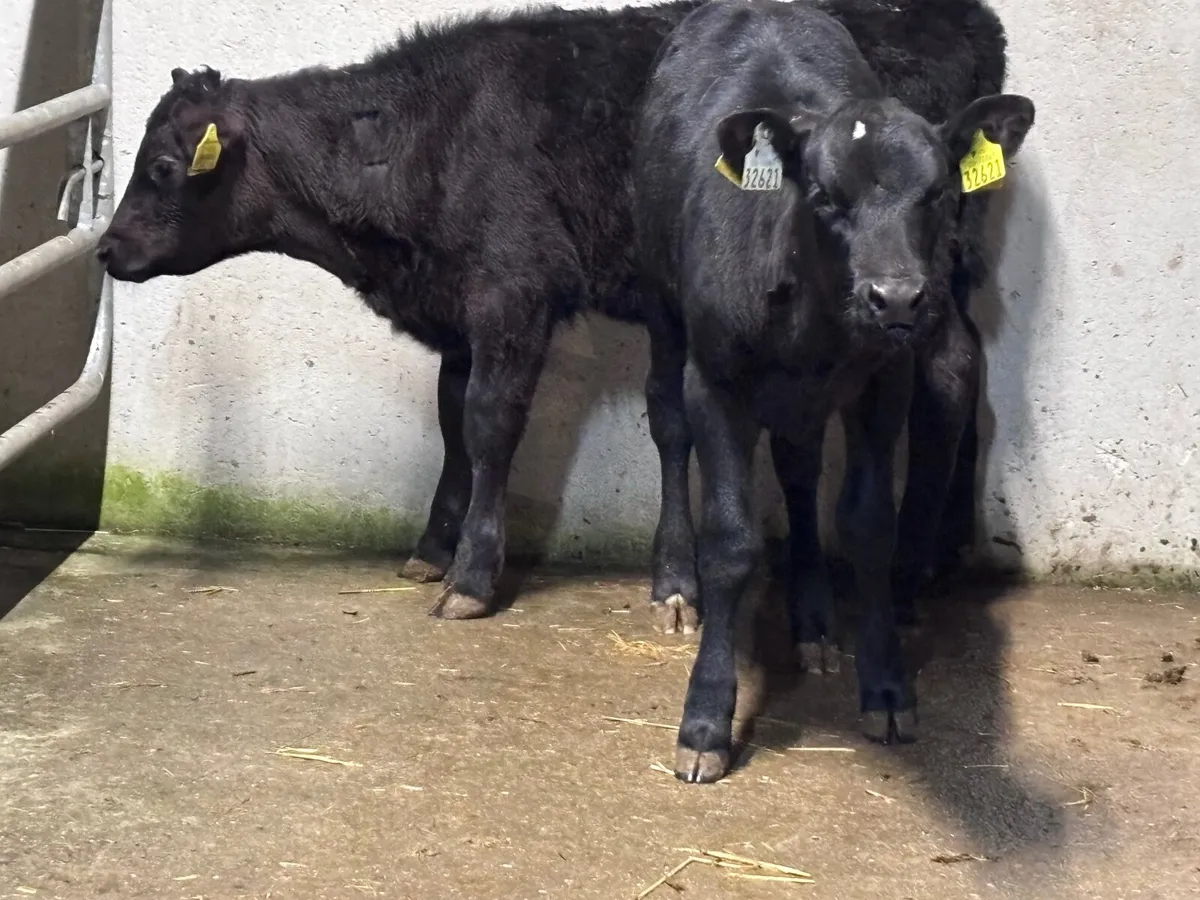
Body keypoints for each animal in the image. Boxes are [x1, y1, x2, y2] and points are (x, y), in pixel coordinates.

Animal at [97, 0, 1011, 629]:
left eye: (165, 166)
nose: (106, 249)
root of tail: (964, 16)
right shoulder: (460, 312)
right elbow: (452, 422)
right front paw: (432, 550)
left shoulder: (514, 293)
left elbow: (491, 424)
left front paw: (471, 577)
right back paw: (949, 550)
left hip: (918, 277)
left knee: (951, 369)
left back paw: (915, 569)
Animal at [632, 0, 1033, 782]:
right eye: (823, 196)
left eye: (938, 193)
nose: (897, 297)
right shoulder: (716, 381)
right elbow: (731, 541)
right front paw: (705, 720)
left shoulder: (883, 379)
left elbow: (868, 524)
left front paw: (885, 686)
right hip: (665, 309)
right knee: (668, 424)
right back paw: (675, 585)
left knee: (798, 465)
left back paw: (815, 620)